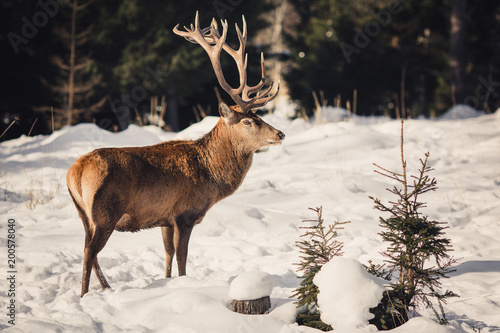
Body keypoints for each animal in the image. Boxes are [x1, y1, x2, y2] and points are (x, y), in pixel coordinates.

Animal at [67, 12, 286, 296]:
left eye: (259, 116)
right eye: (248, 121)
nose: (280, 134)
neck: (211, 175)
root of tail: (74, 172)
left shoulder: (165, 219)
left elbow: (168, 254)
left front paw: (167, 283)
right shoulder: (185, 213)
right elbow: (182, 257)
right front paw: (184, 284)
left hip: (84, 214)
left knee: (89, 250)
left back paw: (107, 288)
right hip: (105, 213)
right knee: (89, 252)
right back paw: (85, 295)